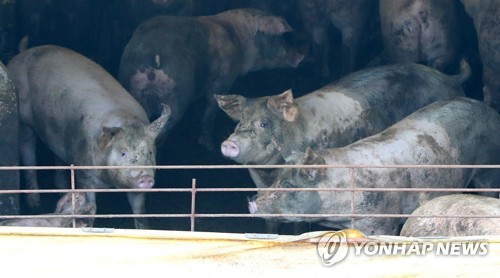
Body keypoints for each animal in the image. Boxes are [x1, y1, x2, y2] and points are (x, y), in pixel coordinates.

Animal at [7, 45, 170, 228]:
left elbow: (140, 210)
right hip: (24, 121)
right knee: (28, 154)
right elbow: (91, 207)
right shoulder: (84, 173)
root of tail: (23, 54)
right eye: (123, 153)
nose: (145, 178)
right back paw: (35, 203)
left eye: (149, 152)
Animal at [118, 7, 302, 149]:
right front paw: (208, 146)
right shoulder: (223, 80)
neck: (240, 41)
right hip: (176, 93)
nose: (301, 55)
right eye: (278, 38)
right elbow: (210, 112)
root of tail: (151, 56)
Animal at [249, 96, 500, 236]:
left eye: (289, 184)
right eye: (277, 178)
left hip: (489, 167)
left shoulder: (379, 221)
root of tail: (488, 109)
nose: (252, 202)